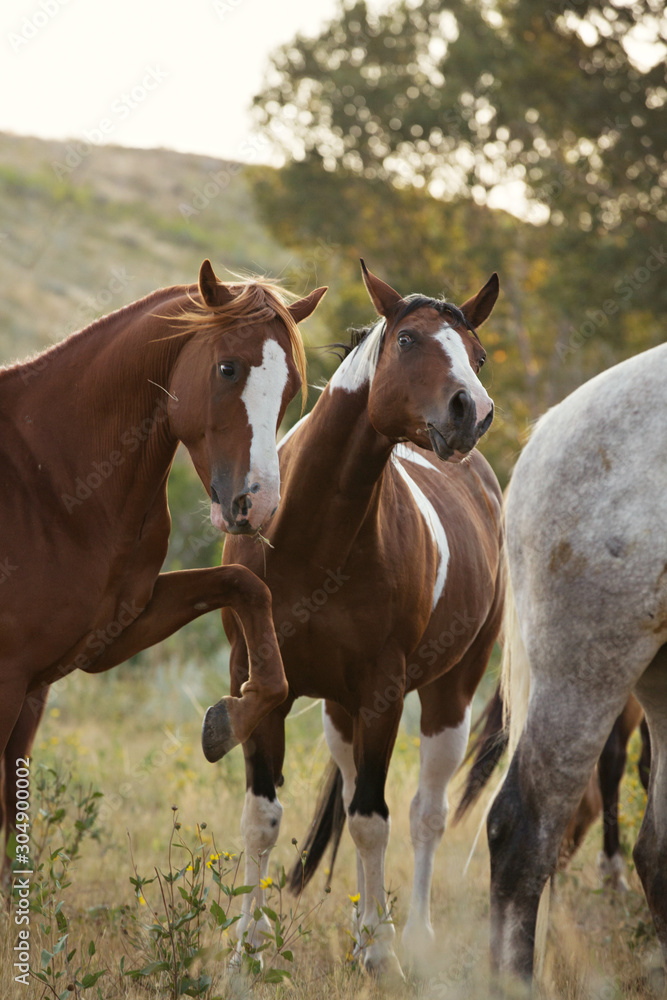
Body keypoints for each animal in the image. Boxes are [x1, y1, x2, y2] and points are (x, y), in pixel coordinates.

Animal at [0, 262, 326, 872]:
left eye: (292, 385)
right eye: (227, 368)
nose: (258, 506)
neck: (50, 481)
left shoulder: (100, 642)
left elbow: (247, 587)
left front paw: (229, 720)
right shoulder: (10, 680)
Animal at [206, 264, 504, 976]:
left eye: (477, 354)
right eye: (408, 340)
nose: (471, 412)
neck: (313, 539)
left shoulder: (382, 694)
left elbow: (375, 819)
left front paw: (379, 950)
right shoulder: (259, 682)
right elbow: (263, 816)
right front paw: (246, 953)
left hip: (448, 695)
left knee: (425, 812)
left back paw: (412, 935)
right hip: (339, 711)